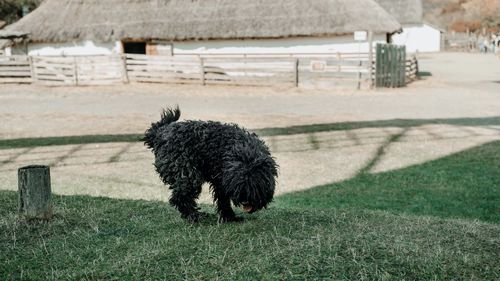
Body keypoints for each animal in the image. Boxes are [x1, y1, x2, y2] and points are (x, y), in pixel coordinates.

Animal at [143, 106, 280, 222]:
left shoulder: (221, 181)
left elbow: (223, 200)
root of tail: (159, 134)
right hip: (187, 175)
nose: (245, 201)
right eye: (239, 184)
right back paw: (195, 216)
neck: (246, 155)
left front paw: (229, 217)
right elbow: (223, 199)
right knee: (180, 197)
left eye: (255, 185)